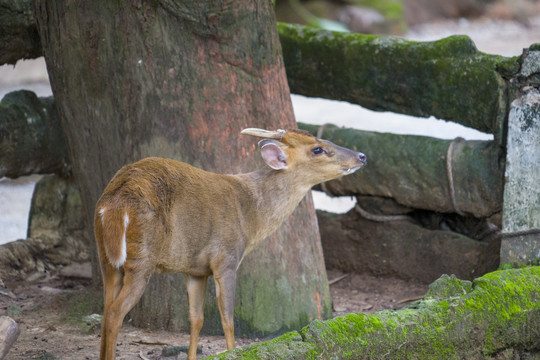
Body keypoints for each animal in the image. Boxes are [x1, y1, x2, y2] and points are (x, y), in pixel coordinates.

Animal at [96, 128, 368, 358]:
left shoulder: (195, 269)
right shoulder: (225, 258)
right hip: (142, 257)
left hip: (107, 259)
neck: (251, 215)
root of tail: (115, 202)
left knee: (105, 310)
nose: (362, 156)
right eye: (317, 149)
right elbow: (228, 320)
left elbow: (196, 319)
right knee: (115, 313)